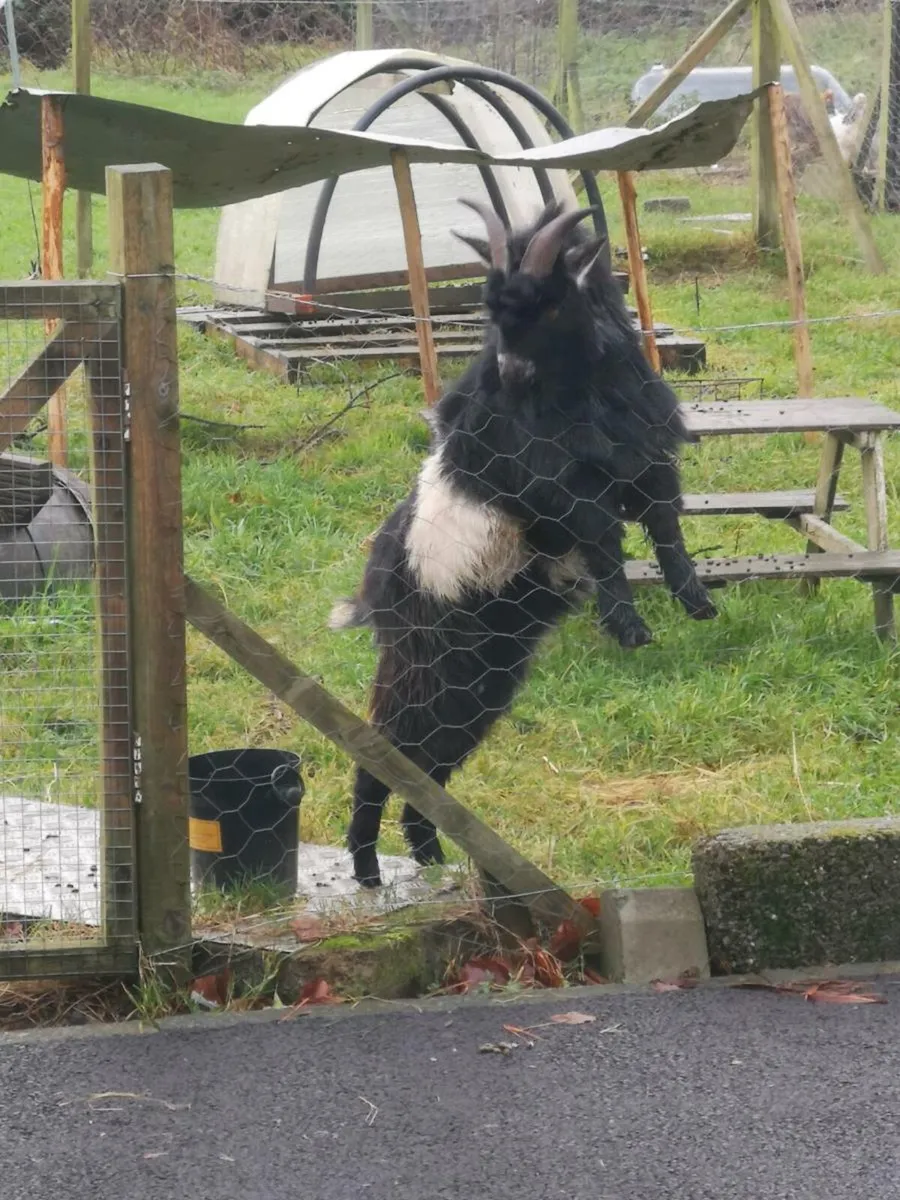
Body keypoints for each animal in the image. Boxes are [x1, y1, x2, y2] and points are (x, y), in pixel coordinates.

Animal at [329, 200, 715, 887]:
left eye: (554, 302)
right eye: (490, 307)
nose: (511, 371)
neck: (578, 393)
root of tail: (376, 591)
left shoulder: (646, 459)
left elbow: (666, 527)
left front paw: (696, 601)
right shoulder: (563, 486)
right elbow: (607, 544)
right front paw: (630, 627)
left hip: (485, 677)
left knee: (429, 762)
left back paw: (428, 856)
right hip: (428, 663)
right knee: (387, 747)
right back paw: (369, 868)